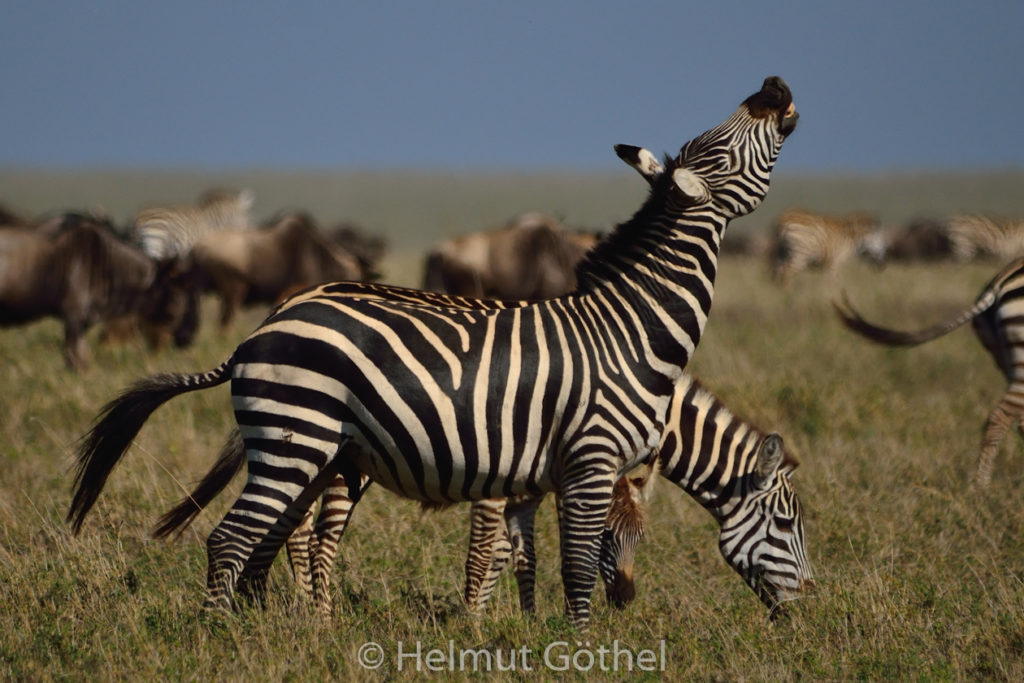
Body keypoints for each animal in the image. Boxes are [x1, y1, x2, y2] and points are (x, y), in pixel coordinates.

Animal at [67, 76, 799, 630]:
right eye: (726, 139)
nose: (772, 87)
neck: (631, 331)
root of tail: (261, 329)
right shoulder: (586, 463)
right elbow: (562, 562)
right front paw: (570, 644)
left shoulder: (534, 475)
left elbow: (521, 556)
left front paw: (525, 634)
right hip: (296, 440)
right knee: (235, 537)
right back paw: (227, 636)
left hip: (315, 450)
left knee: (276, 537)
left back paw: (288, 630)